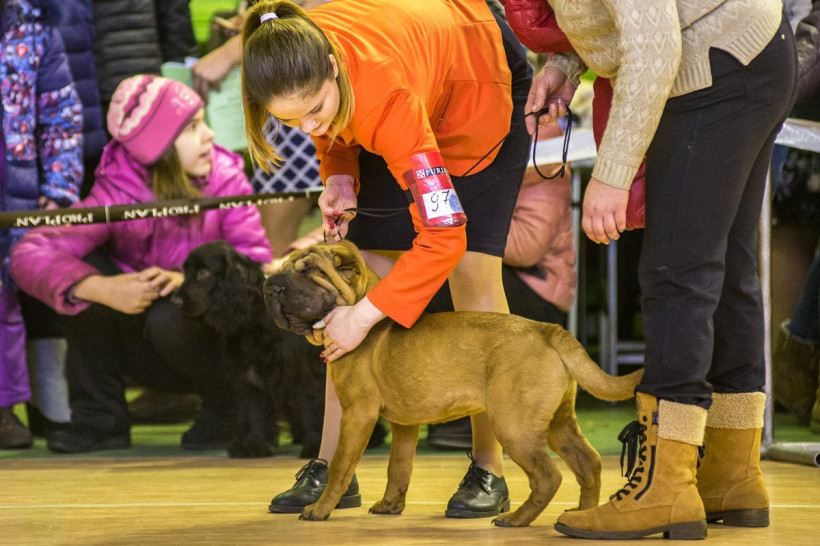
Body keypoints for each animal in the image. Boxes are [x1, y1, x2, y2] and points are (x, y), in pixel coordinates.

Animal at [173, 241, 327, 458]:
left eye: (204, 272)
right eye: (185, 271)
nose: (175, 301)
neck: (255, 319)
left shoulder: (299, 373)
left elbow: (308, 407)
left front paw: (315, 447)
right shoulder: (250, 375)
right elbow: (256, 413)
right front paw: (253, 446)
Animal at [263, 240, 644, 526]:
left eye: (309, 271)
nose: (269, 285)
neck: (358, 314)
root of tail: (548, 330)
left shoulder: (358, 414)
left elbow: (341, 466)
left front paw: (319, 509)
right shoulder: (404, 424)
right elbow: (398, 467)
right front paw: (390, 506)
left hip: (515, 426)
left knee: (548, 476)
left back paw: (516, 519)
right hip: (557, 422)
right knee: (588, 462)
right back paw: (583, 512)